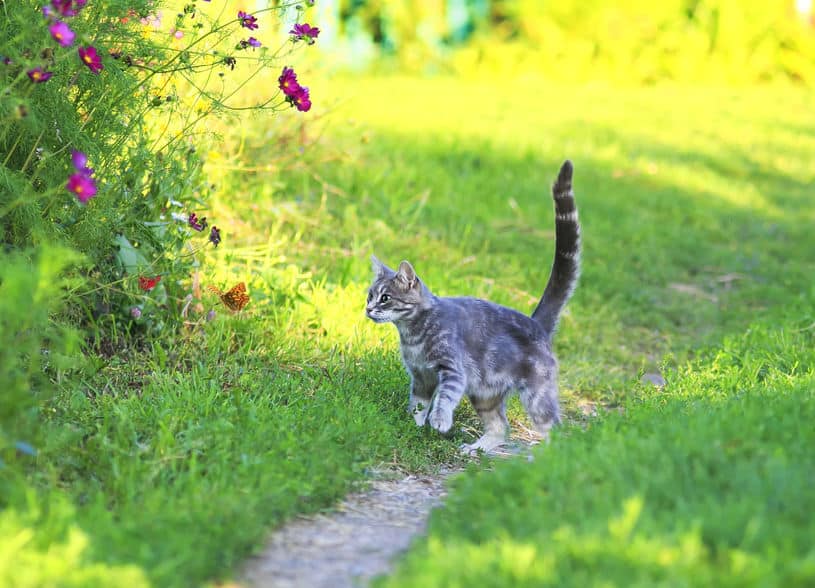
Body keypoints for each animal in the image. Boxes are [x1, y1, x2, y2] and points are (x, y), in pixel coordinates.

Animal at [364, 158, 580, 452]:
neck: (413, 335)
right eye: (370, 296)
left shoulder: (453, 370)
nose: (368, 309)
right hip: (485, 394)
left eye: (385, 297)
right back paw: (477, 448)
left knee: (555, 429)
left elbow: (444, 398)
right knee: (500, 427)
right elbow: (417, 405)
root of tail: (536, 323)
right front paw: (414, 426)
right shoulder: (420, 377)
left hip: (537, 396)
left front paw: (439, 420)